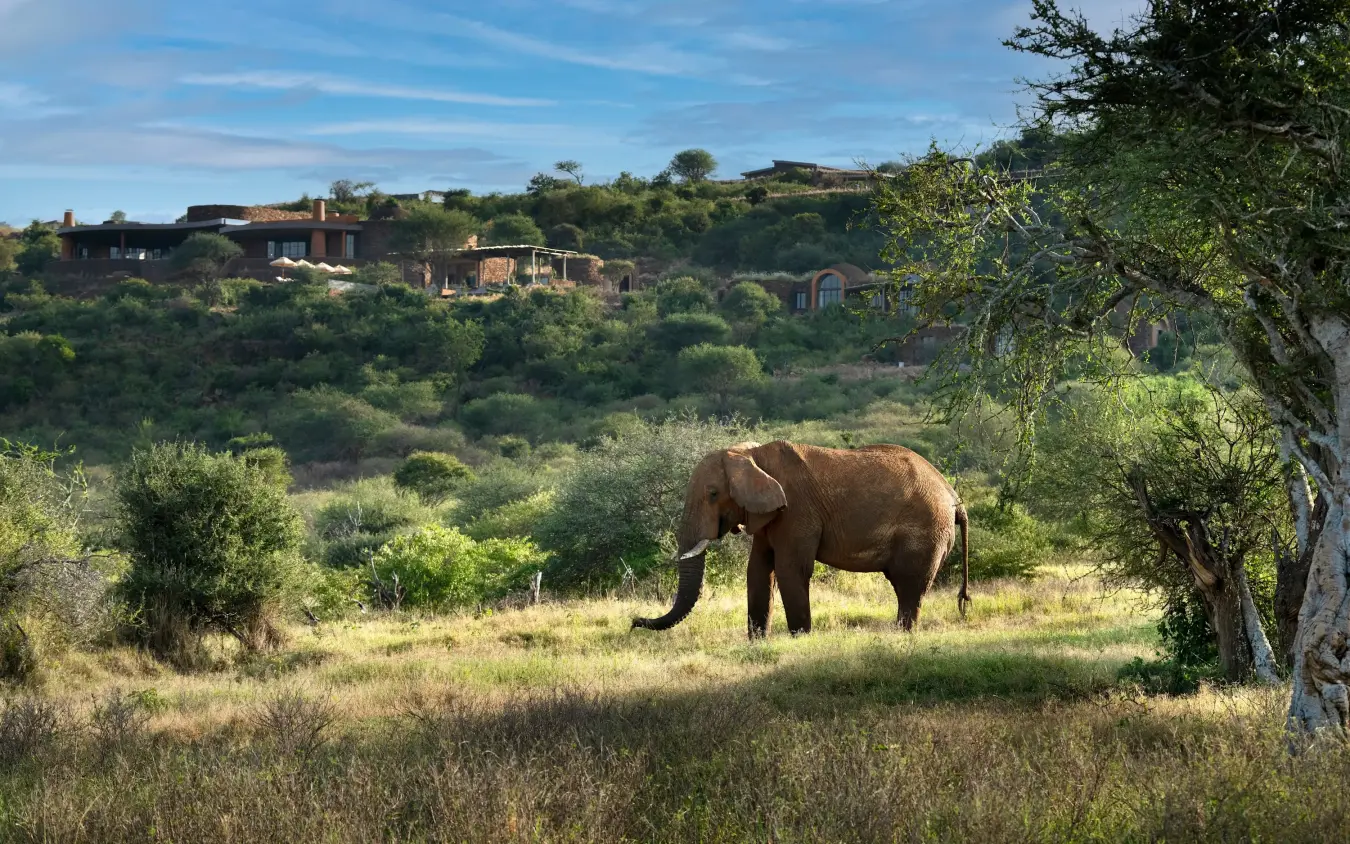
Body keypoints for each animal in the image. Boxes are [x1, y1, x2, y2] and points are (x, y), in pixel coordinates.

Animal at [632, 440, 969, 637]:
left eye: (713, 494)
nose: (634, 622)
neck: (752, 455)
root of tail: (954, 496)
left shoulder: (796, 510)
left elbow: (790, 570)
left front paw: (800, 639)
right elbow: (758, 571)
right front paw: (758, 642)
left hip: (926, 531)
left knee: (909, 586)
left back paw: (902, 635)